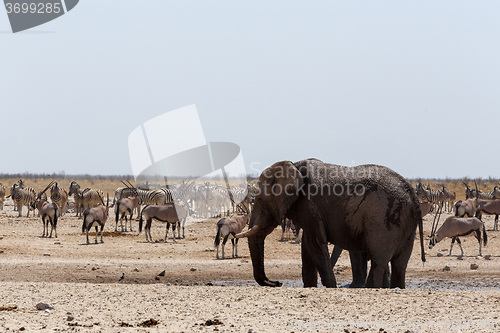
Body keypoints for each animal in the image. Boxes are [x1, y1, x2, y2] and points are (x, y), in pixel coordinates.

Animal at [236, 159, 424, 288]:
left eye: (260, 200)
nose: (277, 282)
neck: (293, 164)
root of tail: (412, 195)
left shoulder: (310, 204)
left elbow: (315, 244)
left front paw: (331, 287)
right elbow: (307, 247)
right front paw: (311, 287)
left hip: (383, 221)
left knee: (379, 261)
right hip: (406, 224)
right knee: (400, 265)